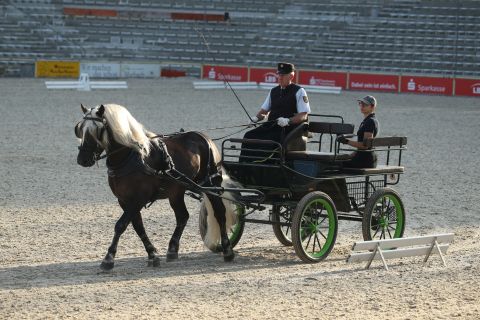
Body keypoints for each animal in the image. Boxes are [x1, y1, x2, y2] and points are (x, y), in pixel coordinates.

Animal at [75, 104, 238, 268]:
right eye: (80, 129)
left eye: (97, 130)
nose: (82, 159)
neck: (130, 158)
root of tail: (203, 137)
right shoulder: (124, 200)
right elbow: (138, 226)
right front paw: (152, 254)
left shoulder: (138, 199)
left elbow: (121, 225)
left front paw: (108, 258)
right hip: (176, 192)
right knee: (182, 216)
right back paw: (172, 250)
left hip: (211, 185)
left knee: (219, 213)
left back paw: (227, 250)